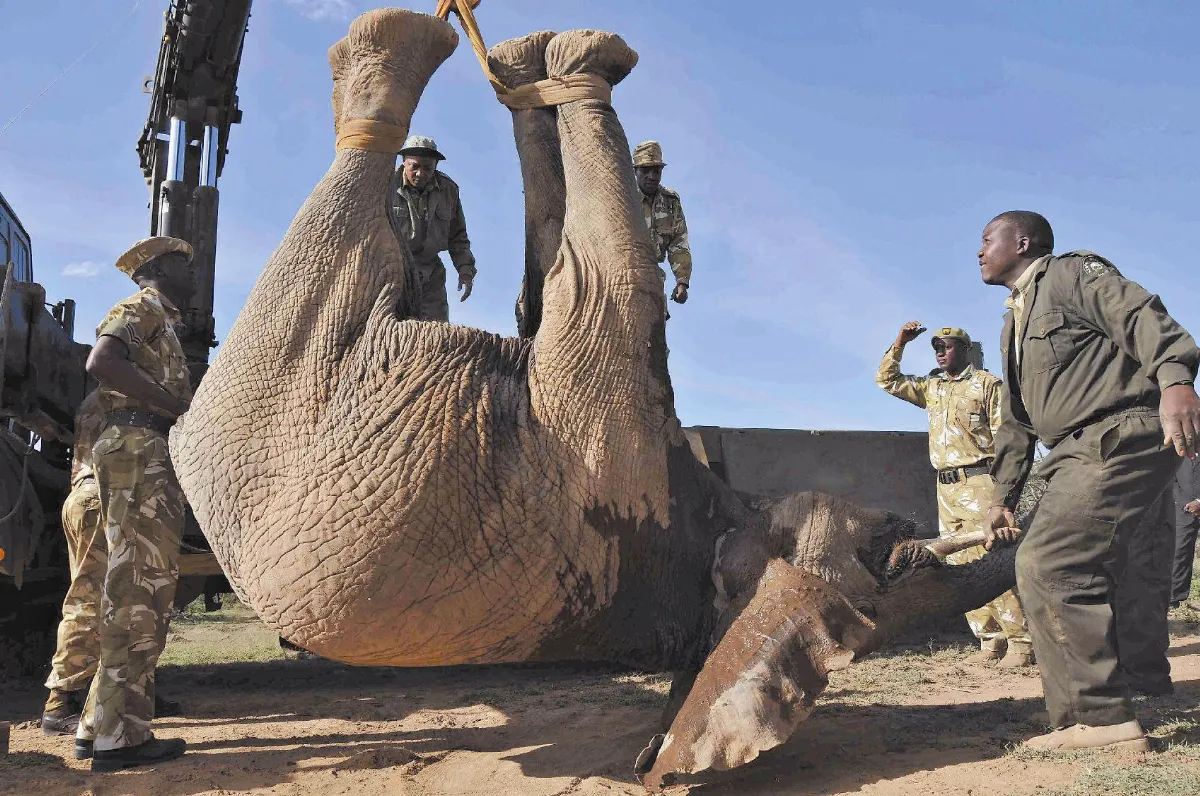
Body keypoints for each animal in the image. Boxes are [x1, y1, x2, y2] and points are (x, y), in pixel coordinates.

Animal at [169, 9, 1018, 789]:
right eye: (897, 543)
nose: (999, 525)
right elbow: (555, 264)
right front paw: (536, 62)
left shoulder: (604, 441)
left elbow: (600, 272)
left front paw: (573, 60)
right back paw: (508, 60)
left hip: (287, 363)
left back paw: (426, 51)